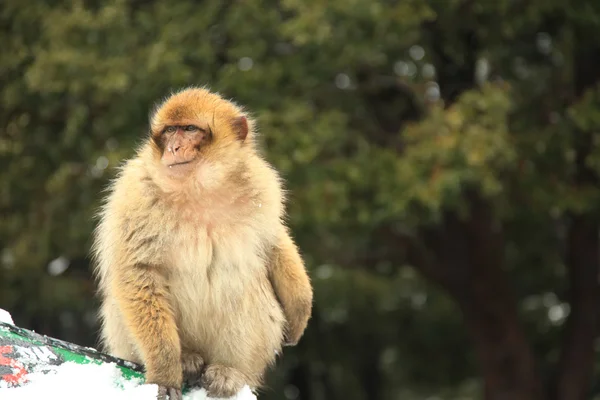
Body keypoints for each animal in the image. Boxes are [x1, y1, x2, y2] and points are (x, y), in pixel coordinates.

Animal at [92, 86, 314, 398]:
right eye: (169, 131)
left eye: (188, 129)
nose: (173, 148)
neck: (199, 190)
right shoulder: (134, 194)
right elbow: (138, 274)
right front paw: (165, 372)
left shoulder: (262, 187)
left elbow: (272, 241)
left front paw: (300, 308)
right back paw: (186, 358)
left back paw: (230, 372)